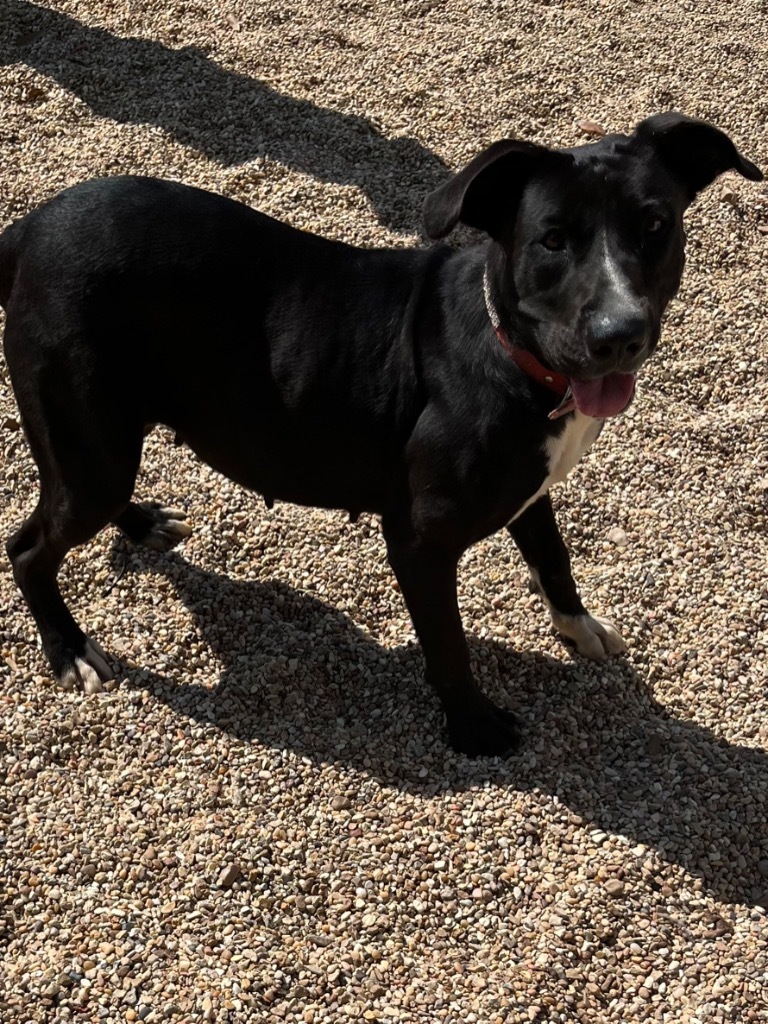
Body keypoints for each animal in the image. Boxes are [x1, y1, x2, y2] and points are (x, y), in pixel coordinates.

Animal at [0, 114, 761, 753]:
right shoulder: (420, 542)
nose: (619, 333)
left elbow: (554, 558)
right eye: (551, 239)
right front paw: (475, 729)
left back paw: (141, 524)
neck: (510, 350)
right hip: (88, 445)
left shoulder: (531, 488)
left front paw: (577, 628)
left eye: (654, 224)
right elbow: (448, 646)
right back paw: (69, 648)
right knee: (29, 547)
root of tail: (29, 228)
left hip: (101, 446)